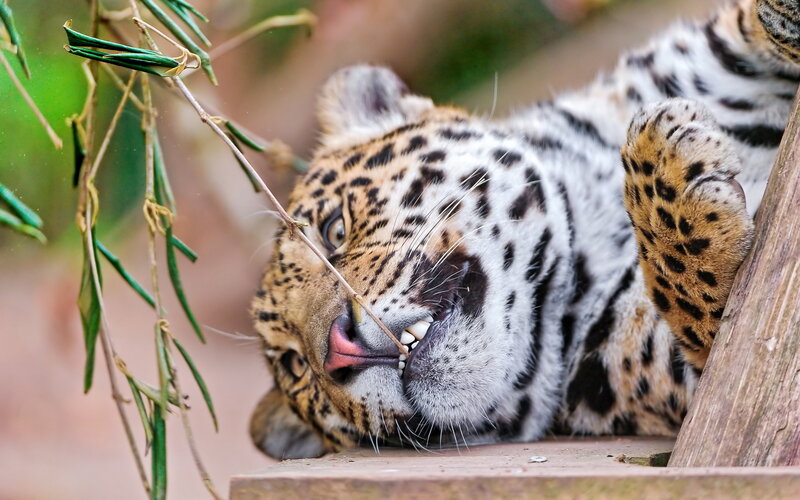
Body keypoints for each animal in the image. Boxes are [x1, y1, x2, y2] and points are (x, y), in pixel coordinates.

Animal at [249, 0, 800, 459]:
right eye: (297, 368)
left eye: (334, 229)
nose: (339, 350)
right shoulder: (693, 377)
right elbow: (710, 311)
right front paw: (662, 157)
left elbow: (745, 24)